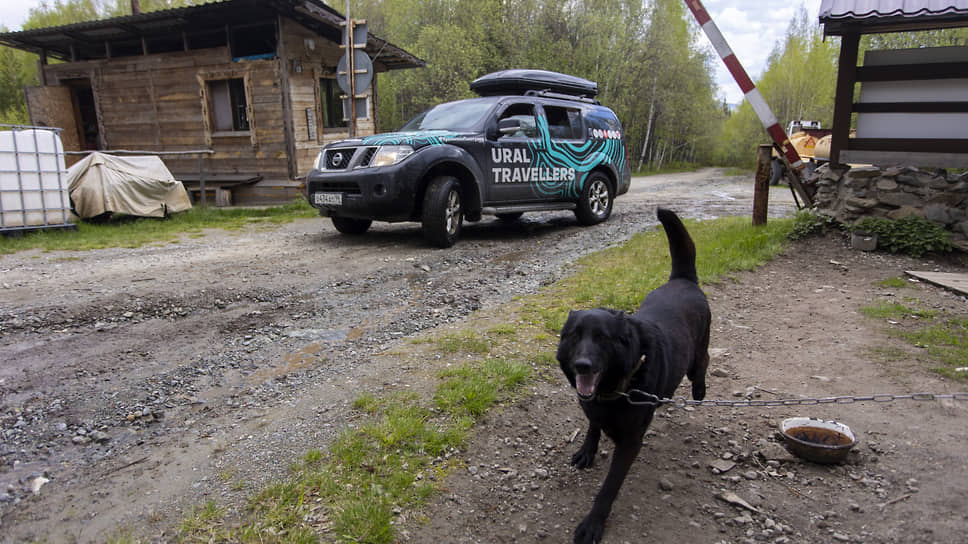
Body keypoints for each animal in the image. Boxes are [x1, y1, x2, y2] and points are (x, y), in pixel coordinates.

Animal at [552, 208, 712, 544]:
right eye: (574, 336)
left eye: (602, 338)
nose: (582, 365)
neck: (616, 387)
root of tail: (682, 280)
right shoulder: (593, 407)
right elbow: (593, 425)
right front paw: (588, 450)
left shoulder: (630, 443)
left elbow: (608, 487)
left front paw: (593, 523)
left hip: (696, 355)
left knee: (703, 361)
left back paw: (699, 391)